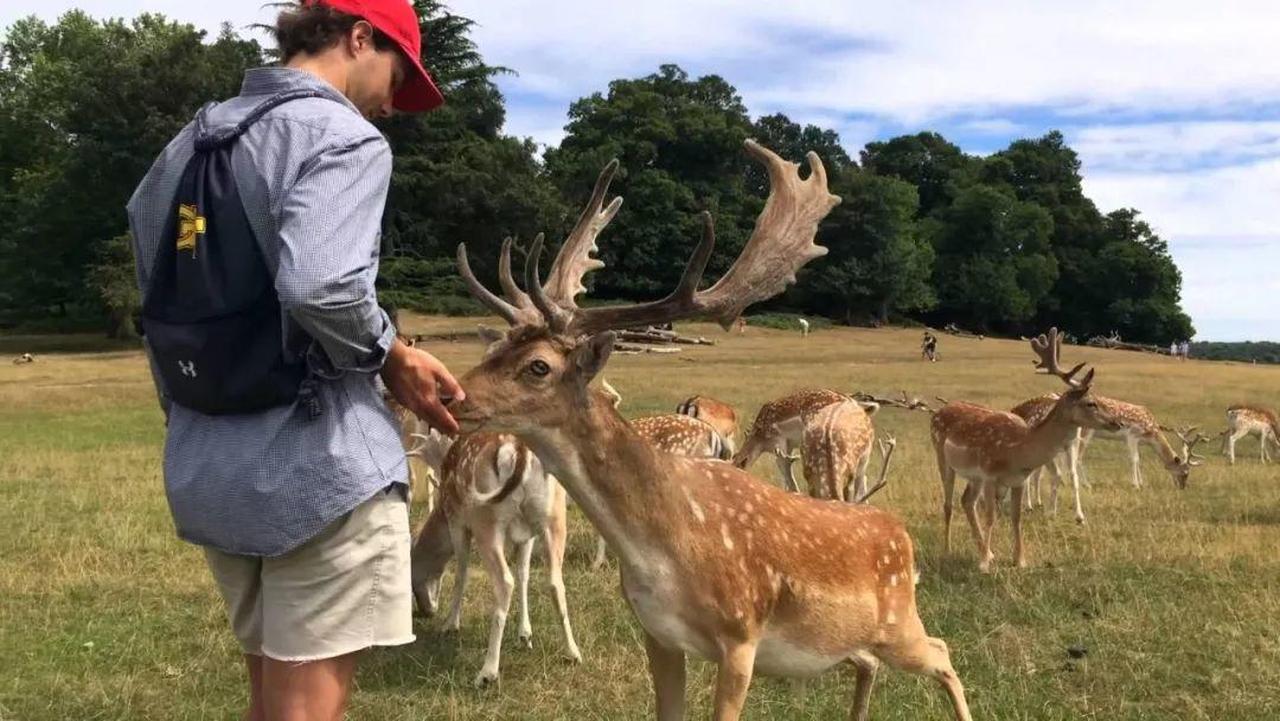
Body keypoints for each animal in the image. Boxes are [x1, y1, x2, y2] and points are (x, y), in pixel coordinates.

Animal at [409, 432, 581, 686]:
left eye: (411, 572)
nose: (424, 611)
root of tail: (519, 450)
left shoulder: (457, 521)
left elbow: (461, 573)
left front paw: (450, 624)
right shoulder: (527, 535)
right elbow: (524, 574)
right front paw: (525, 634)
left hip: (486, 521)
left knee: (505, 582)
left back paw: (487, 672)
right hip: (555, 517)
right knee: (555, 582)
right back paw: (573, 652)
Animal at [931, 330, 1121, 573]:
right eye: (1090, 403)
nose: (1116, 422)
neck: (1018, 450)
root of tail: (938, 411)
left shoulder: (1019, 480)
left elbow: (1017, 517)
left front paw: (1018, 560)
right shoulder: (990, 474)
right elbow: (991, 516)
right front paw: (983, 565)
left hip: (974, 476)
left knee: (967, 501)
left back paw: (987, 550)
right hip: (942, 456)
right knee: (949, 504)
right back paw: (948, 549)